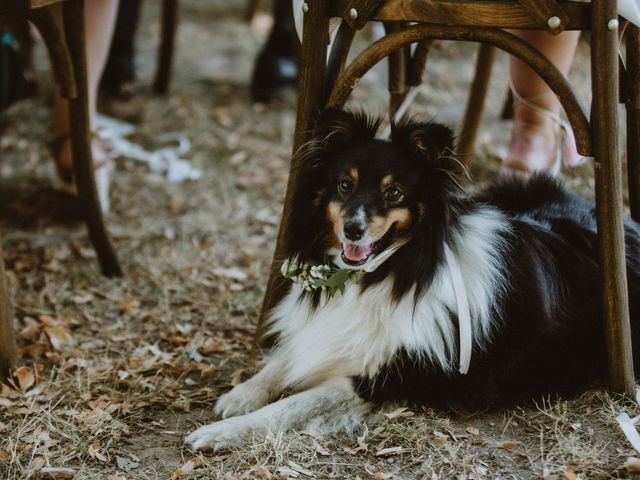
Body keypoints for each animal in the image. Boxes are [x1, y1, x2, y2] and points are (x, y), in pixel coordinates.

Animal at [185, 110, 640, 452]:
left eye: (395, 194)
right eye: (344, 185)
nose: (352, 230)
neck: (394, 268)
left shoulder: (392, 375)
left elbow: (293, 405)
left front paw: (219, 433)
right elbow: (283, 360)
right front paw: (240, 395)